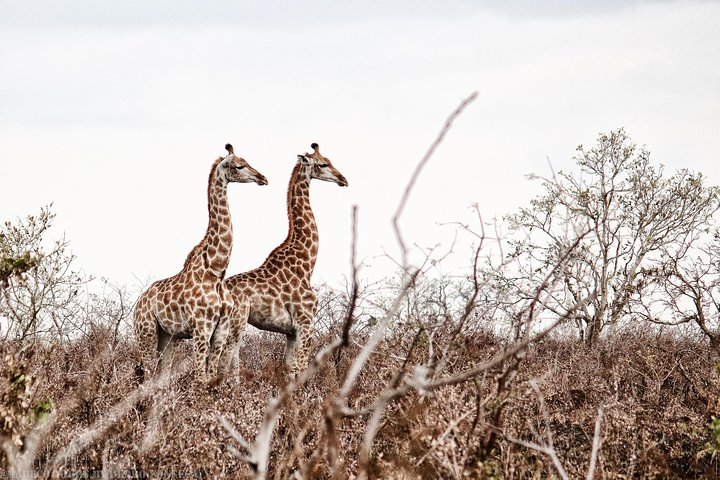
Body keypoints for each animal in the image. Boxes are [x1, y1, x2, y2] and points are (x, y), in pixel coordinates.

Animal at [133, 144, 268, 384]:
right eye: (239, 166)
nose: (262, 178)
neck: (216, 270)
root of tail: (138, 304)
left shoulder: (221, 329)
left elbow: (211, 377)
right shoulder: (202, 327)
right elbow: (199, 380)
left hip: (168, 337)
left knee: (161, 379)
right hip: (146, 332)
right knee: (147, 376)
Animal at [221, 143, 348, 376]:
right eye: (323, 164)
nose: (343, 179)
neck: (306, 263)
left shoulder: (291, 332)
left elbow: (289, 368)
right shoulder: (306, 323)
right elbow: (301, 367)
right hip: (236, 323)